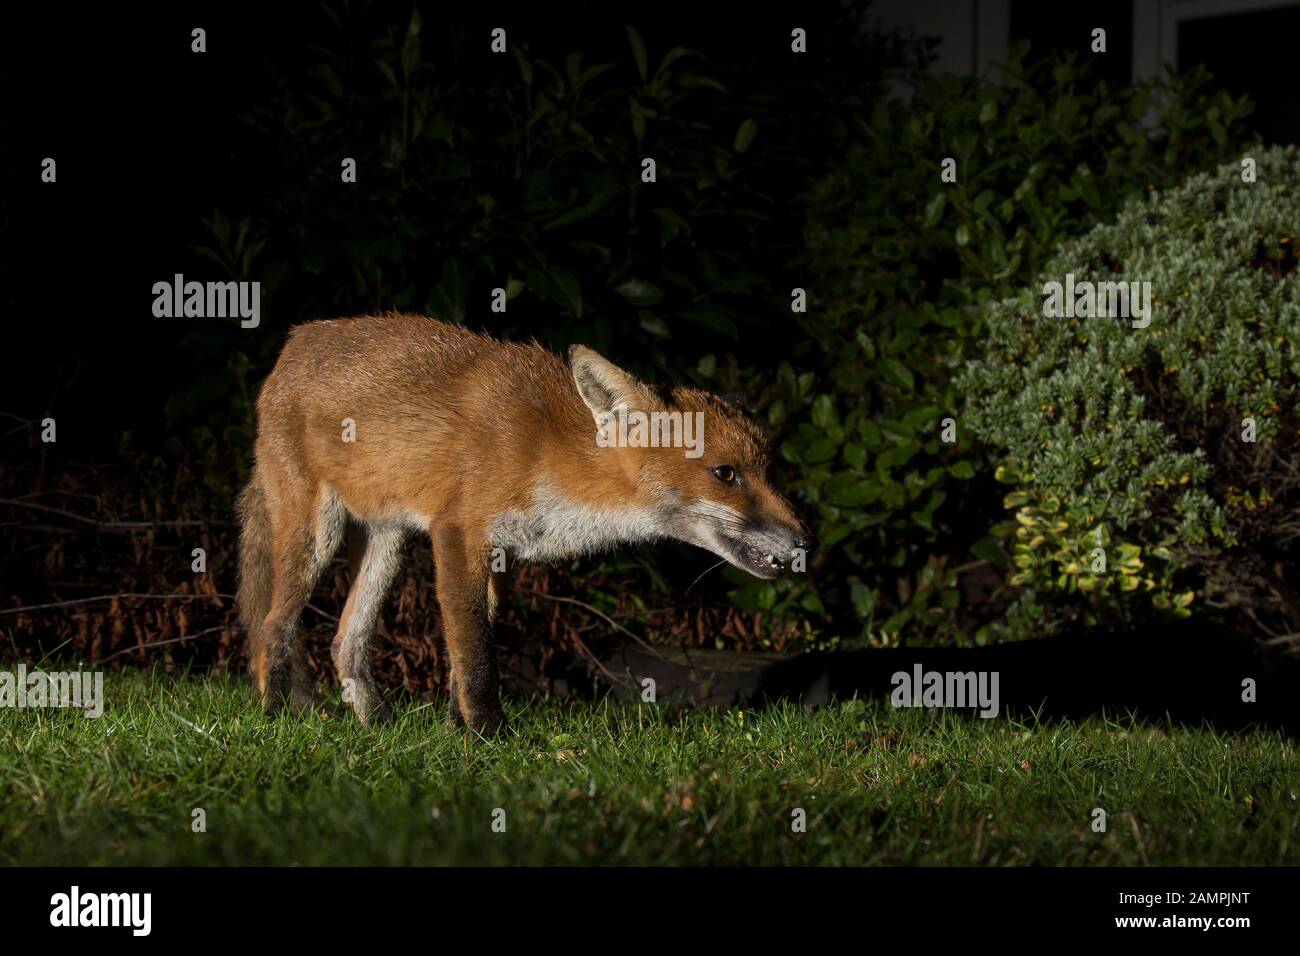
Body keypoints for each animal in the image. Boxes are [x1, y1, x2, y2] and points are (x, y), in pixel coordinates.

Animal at [233, 314, 800, 733]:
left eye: (771, 469)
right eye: (725, 474)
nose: (804, 540)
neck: (553, 456)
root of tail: (292, 345)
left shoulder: (500, 555)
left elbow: (465, 653)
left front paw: (455, 730)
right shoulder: (458, 533)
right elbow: (476, 655)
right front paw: (490, 736)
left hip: (387, 544)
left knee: (344, 641)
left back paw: (378, 727)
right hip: (317, 535)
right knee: (272, 627)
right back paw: (275, 717)